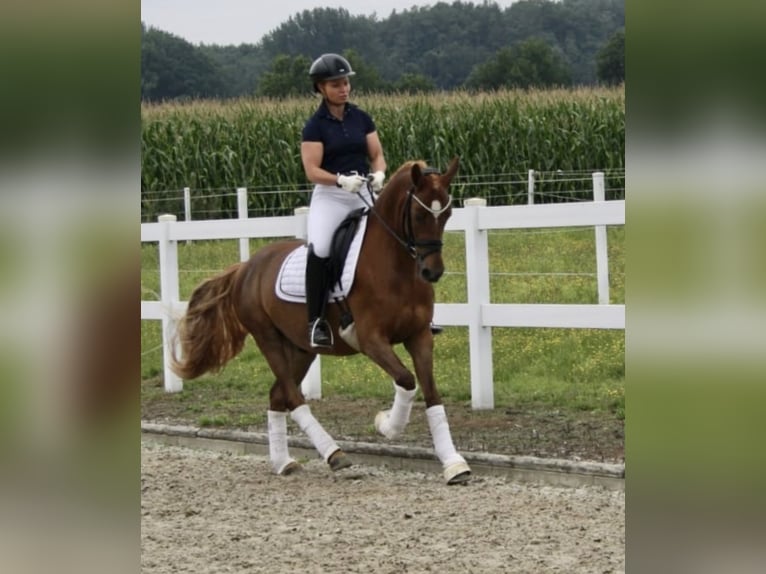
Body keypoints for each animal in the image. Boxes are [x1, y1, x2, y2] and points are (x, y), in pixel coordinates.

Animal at [174, 156, 472, 486]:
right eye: (419, 214)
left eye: (447, 213)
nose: (433, 272)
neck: (396, 268)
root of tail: (246, 267)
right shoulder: (371, 340)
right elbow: (406, 380)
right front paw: (385, 425)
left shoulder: (419, 336)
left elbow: (431, 392)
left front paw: (453, 464)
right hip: (268, 338)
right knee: (292, 397)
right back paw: (334, 454)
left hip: (301, 348)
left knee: (277, 395)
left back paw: (283, 462)